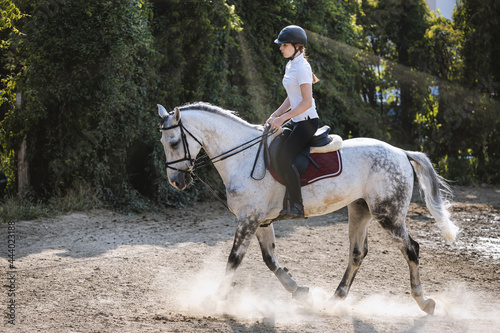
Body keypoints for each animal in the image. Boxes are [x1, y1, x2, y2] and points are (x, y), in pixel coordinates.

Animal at [158, 102, 458, 314]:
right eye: (164, 142)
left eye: (173, 142)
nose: (176, 182)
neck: (242, 157)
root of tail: (401, 152)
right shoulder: (260, 220)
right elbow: (270, 259)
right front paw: (298, 290)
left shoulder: (249, 218)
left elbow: (234, 260)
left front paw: (213, 299)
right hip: (360, 210)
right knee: (357, 254)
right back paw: (334, 300)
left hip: (389, 214)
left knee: (411, 249)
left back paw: (424, 302)